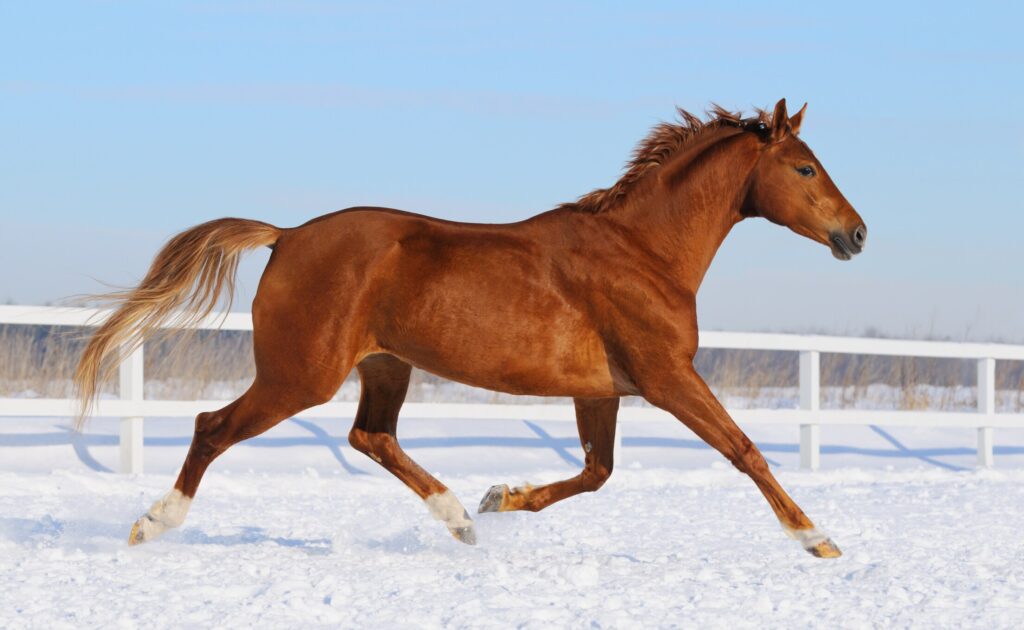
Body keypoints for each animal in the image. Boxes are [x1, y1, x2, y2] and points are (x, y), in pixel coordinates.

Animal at [74, 98, 865, 558]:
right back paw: (151, 525)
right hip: (300, 374)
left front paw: (502, 497)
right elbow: (745, 450)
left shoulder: (601, 389)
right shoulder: (668, 376)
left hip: (383, 365)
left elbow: (597, 472)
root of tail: (287, 235)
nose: (856, 234)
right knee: (213, 426)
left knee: (371, 437)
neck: (642, 252)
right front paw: (818, 539)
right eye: (804, 167)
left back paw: (460, 518)